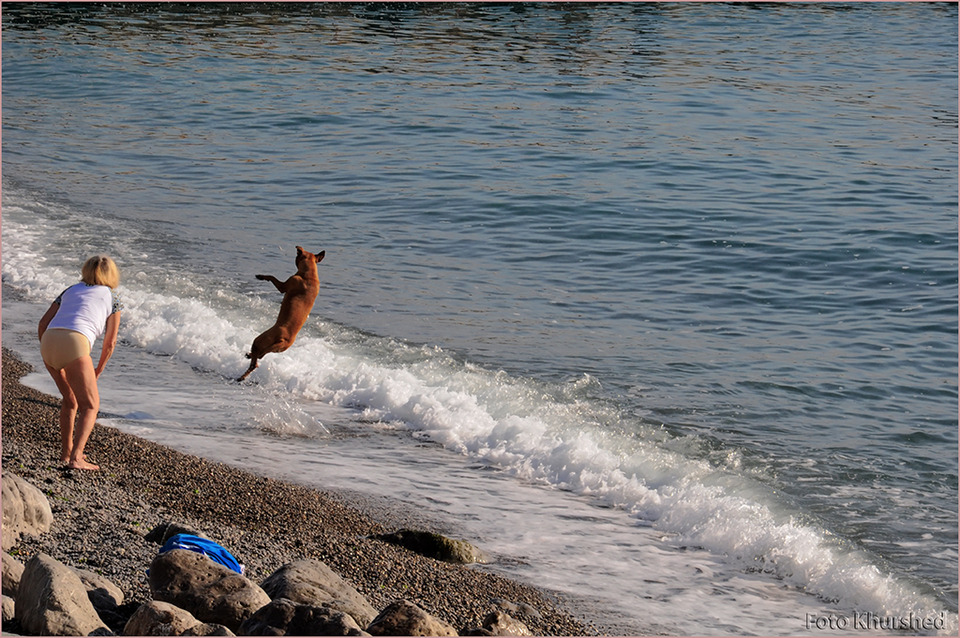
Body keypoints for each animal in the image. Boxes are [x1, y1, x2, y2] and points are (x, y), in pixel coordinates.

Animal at [239, 248, 326, 382]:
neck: (309, 276)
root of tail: (285, 340)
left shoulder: (284, 285)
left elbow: (272, 277)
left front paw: (262, 276)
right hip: (274, 348)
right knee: (258, 358)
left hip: (260, 340)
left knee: (255, 361)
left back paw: (242, 376)